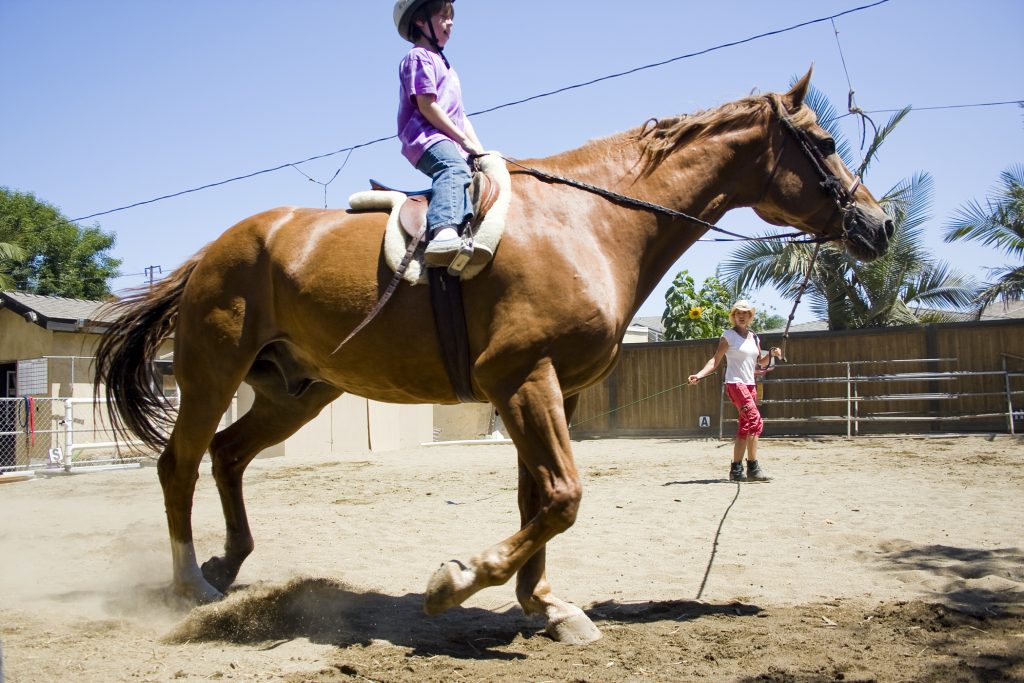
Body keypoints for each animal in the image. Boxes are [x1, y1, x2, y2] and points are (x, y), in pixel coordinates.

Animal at [99, 72, 892, 643]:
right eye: (824, 142)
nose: (879, 225)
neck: (593, 220)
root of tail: (213, 250)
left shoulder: (551, 389)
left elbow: (538, 499)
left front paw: (544, 605)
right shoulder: (520, 377)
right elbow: (563, 496)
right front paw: (454, 581)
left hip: (296, 391)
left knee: (229, 455)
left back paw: (228, 561)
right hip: (214, 373)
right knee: (180, 465)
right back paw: (190, 586)